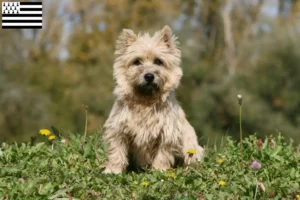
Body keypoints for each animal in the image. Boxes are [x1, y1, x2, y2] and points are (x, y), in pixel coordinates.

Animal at [103, 25, 204, 173]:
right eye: (136, 62)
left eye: (158, 61)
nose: (149, 76)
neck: (145, 101)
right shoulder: (118, 130)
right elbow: (117, 151)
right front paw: (113, 170)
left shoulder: (167, 133)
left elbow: (162, 154)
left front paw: (159, 170)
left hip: (190, 148)